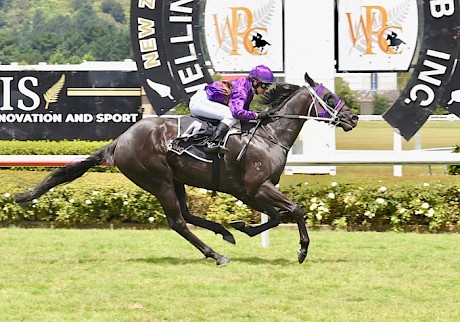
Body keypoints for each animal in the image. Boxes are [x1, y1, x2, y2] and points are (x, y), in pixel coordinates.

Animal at [13, 72, 360, 264]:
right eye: (330, 97)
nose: (354, 118)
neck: (267, 135)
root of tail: (120, 140)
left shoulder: (252, 191)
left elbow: (274, 217)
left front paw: (241, 227)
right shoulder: (256, 187)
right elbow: (295, 210)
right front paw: (301, 250)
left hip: (175, 178)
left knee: (187, 214)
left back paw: (224, 234)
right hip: (158, 180)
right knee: (178, 221)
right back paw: (217, 255)